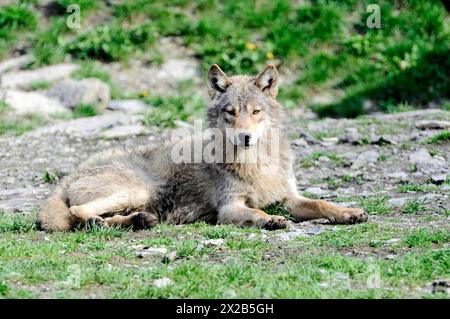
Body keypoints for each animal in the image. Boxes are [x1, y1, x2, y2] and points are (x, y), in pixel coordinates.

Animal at [37, 64, 370, 232]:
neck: (256, 165)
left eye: (256, 112)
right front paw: (270, 219)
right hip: (138, 190)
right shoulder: (230, 208)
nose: (245, 137)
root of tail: (69, 176)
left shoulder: (289, 197)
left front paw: (349, 212)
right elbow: (256, 212)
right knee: (79, 214)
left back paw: (139, 221)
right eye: (230, 112)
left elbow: (322, 204)